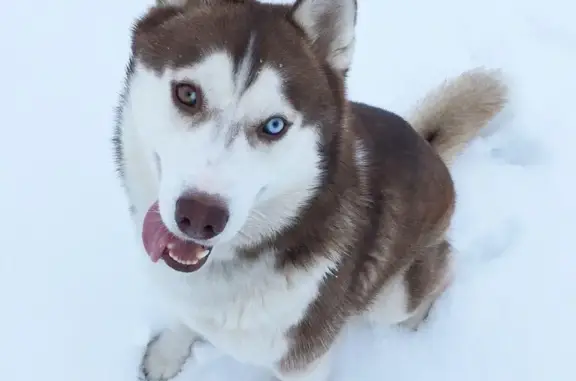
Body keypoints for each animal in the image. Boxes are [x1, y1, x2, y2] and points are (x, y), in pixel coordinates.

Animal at [113, 0, 508, 380]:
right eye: (187, 94)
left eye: (274, 126)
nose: (199, 216)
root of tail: (429, 147)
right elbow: (182, 318)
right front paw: (167, 353)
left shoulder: (304, 361)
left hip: (394, 296)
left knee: (441, 271)